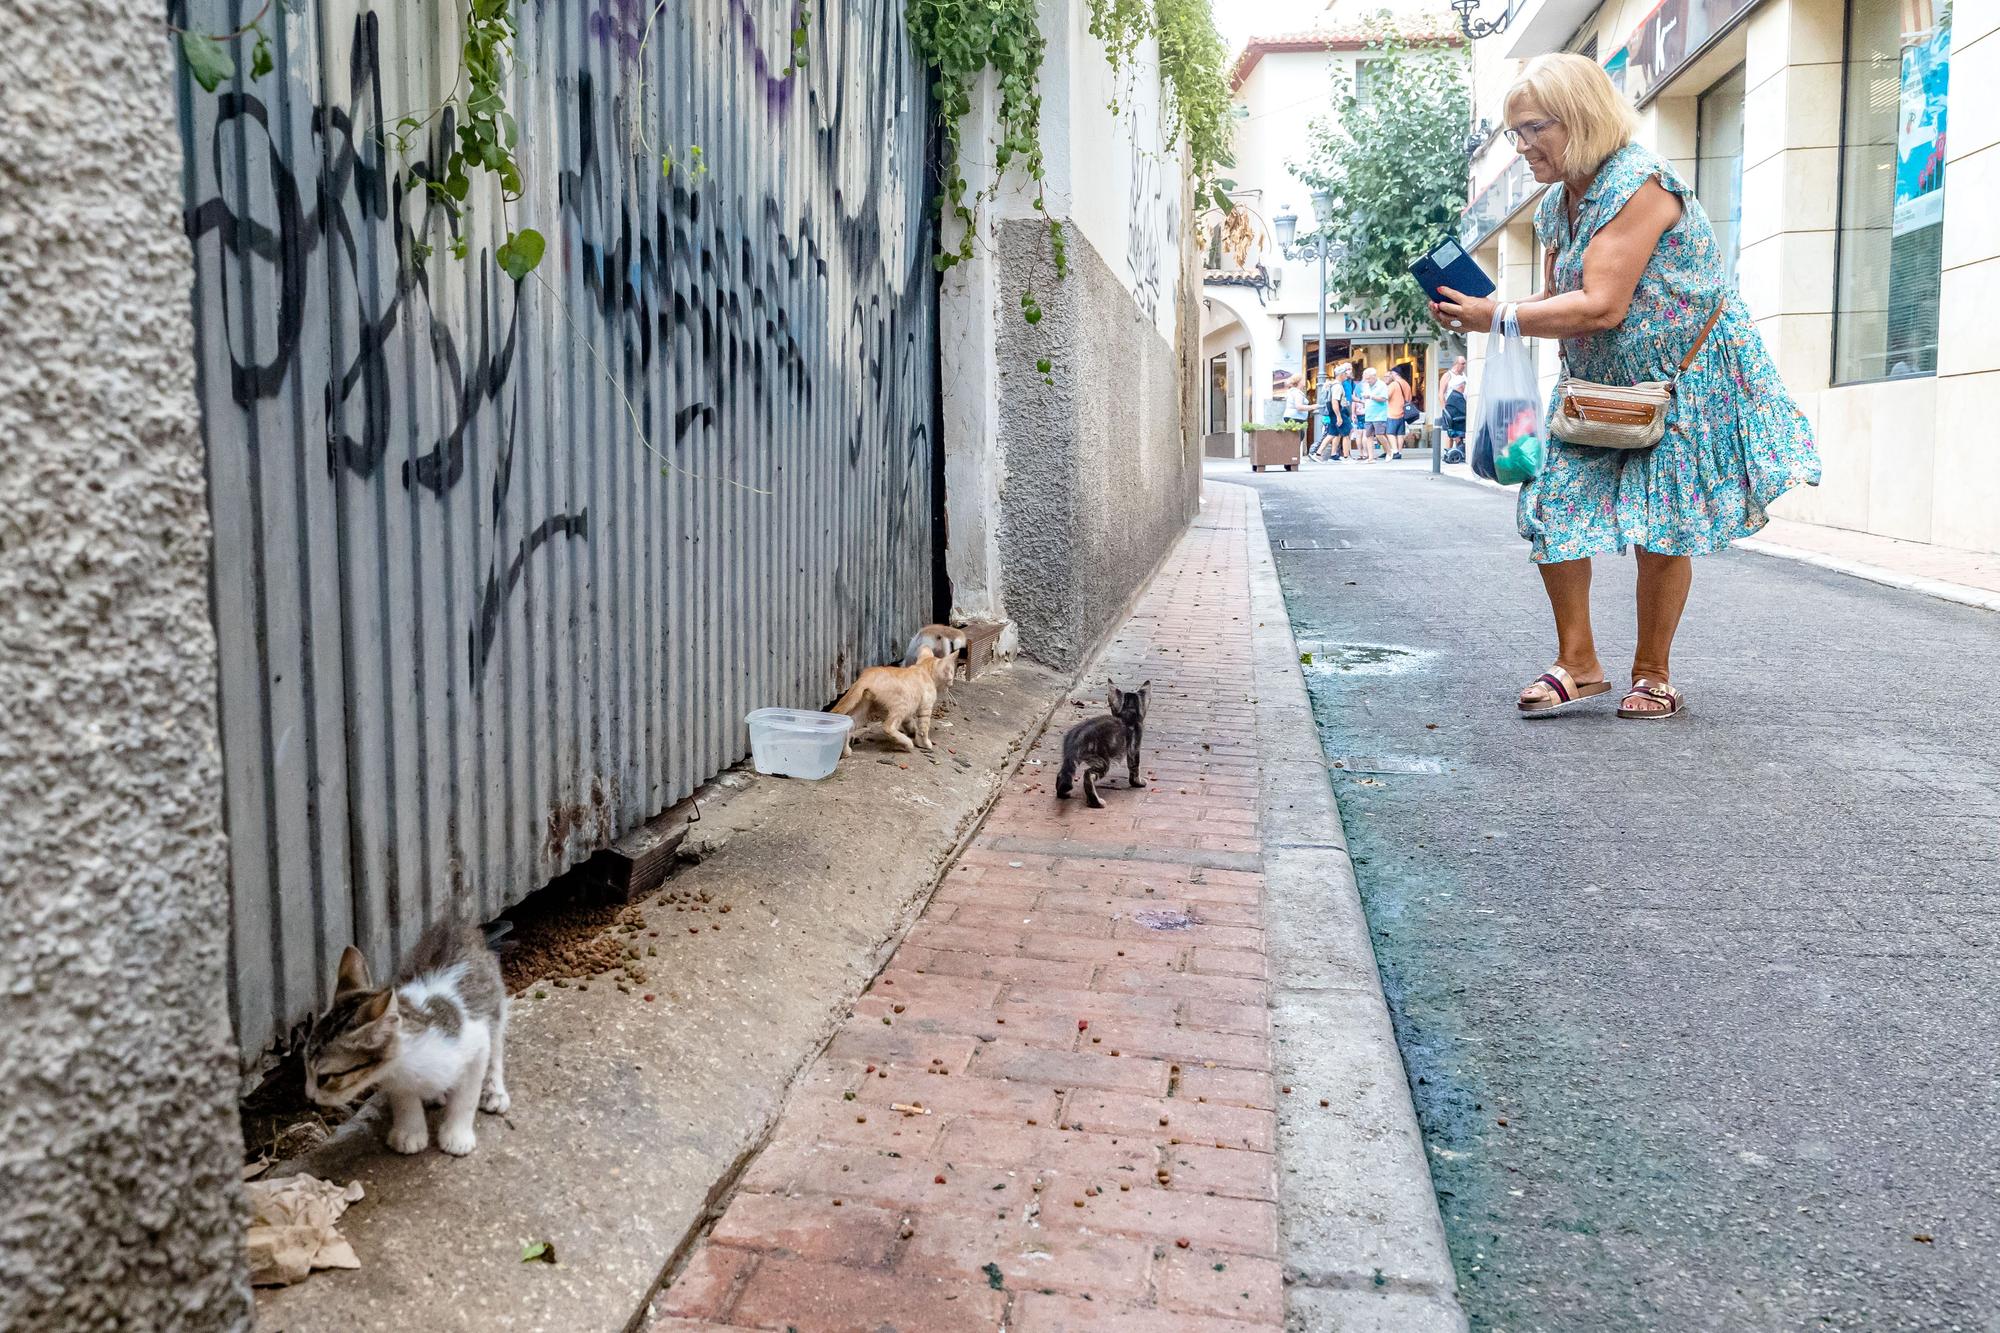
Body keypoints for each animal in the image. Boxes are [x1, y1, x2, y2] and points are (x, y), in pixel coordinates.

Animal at [304, 912, 512, 1152]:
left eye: (325, 1077)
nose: (309, 1097)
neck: (410, 1063)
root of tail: (459, 924)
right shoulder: (394, 1076)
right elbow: (404, 1097)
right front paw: (409, 1132)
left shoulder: (475, 1042)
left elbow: (466, 1096)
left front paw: (457, 1135)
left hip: (495, 1005)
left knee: (496, 1048)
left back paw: (494, 1091)